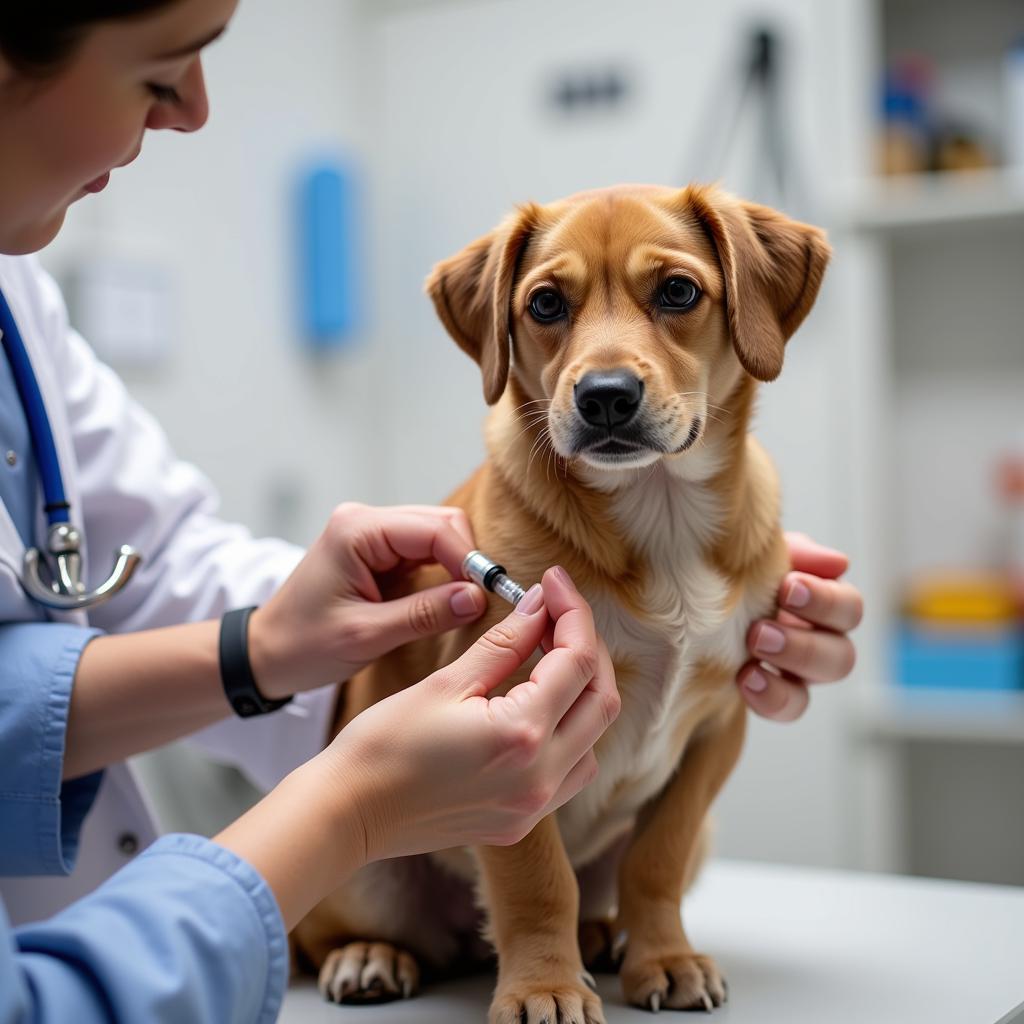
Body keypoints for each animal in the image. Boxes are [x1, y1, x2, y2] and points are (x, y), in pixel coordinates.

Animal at [294, 180, 831, 1019]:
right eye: (545, 304)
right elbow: (536, 878)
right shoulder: (508, 738)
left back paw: (604, 938)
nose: (606, 397)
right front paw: (543, 984)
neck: (660, 516)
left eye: (679, 291)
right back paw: (370, 955)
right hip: (364, 877)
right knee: (328, 937)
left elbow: (657, 860)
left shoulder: (718, 727)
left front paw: (664, 957)